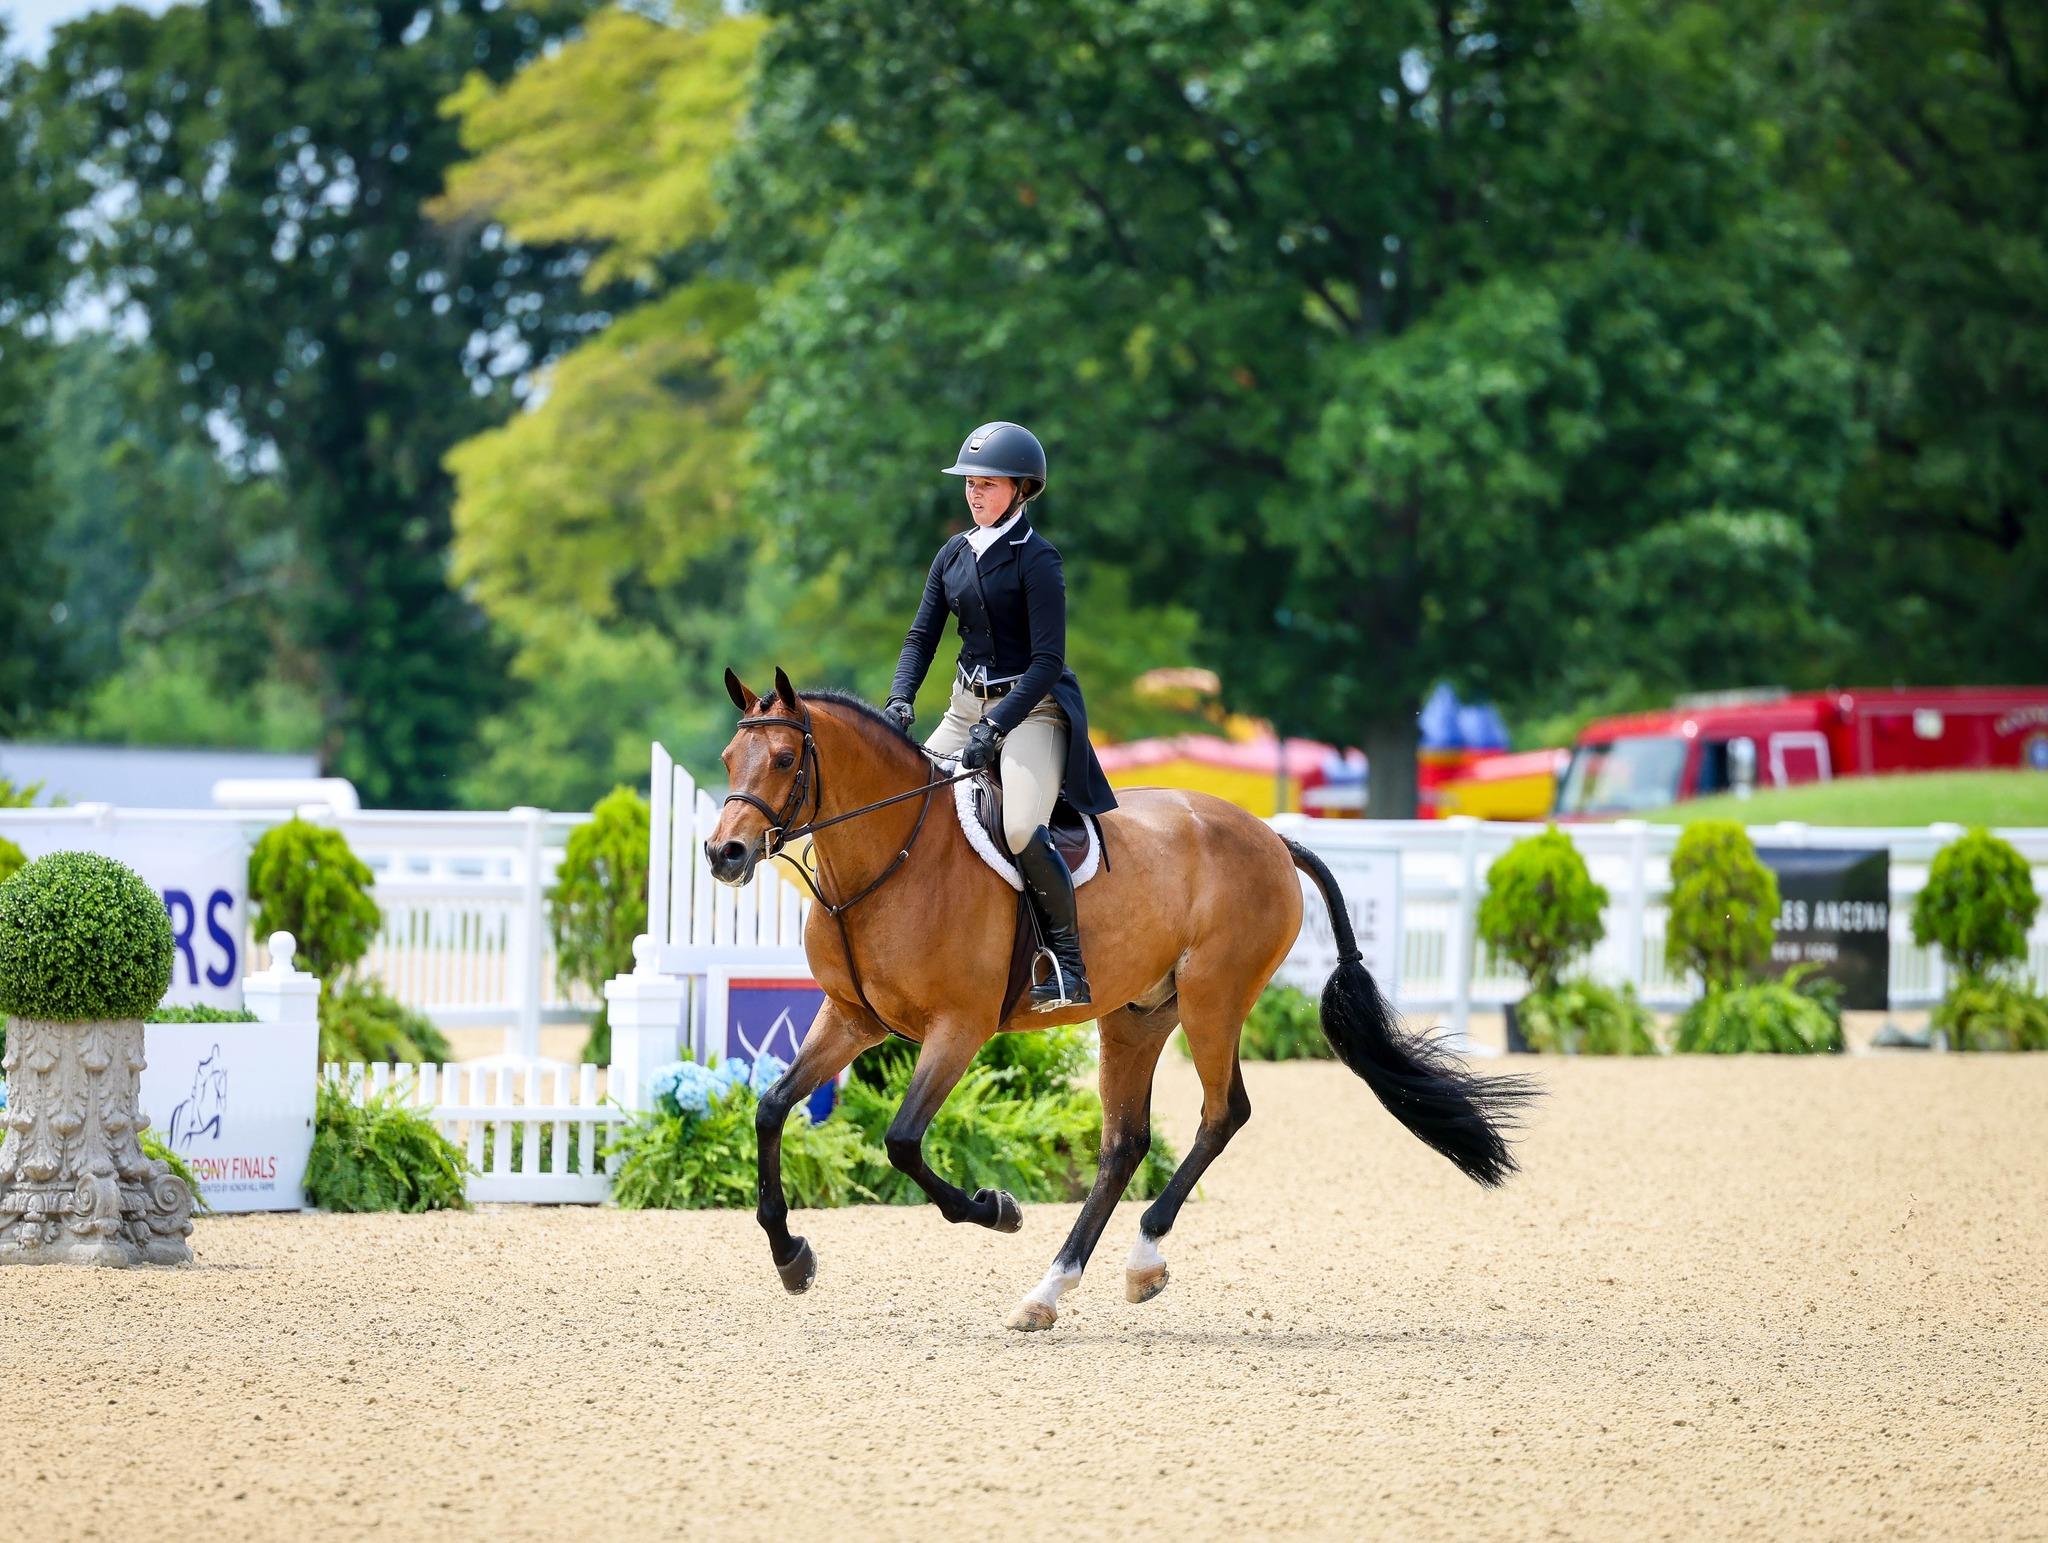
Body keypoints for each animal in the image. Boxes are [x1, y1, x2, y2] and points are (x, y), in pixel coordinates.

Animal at [707, 667, 1535, 1331]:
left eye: (784, 758)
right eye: (726, 760)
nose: (724, 854)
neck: (892, 857)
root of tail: (1270, 835)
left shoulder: (958, 1028)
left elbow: (904, 1140)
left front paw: (997, 1208)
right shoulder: (852, 1019)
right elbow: (771, 1107)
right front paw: (791, 1254)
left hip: (1212, 997)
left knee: (1221, 1114)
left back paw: (1140, 1259)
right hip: (1137, 1015)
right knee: (1124, 1143)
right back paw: (1049, 1291)